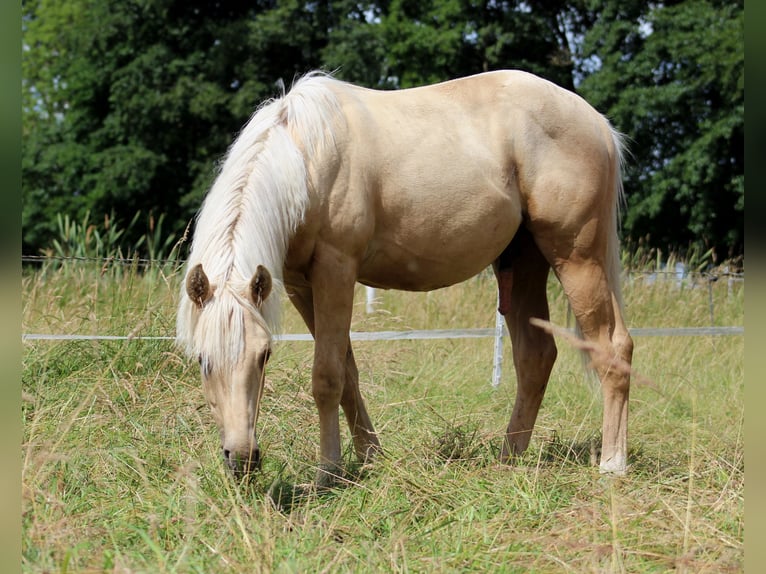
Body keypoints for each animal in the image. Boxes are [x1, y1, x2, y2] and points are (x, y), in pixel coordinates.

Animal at [178, 70, 636, 484]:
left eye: (264, 356)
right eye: (202, 360)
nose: (242, 459)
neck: (307, 159)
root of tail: (598, 123)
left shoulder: (335, 271)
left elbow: (327, 376)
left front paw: (330, 471)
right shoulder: (300, 285)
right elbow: (348, 374)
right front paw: (368, 457)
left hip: (577, 259)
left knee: (613, 347)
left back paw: (612, 463)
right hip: (524, 263)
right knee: (536, 357)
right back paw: (509, 458)